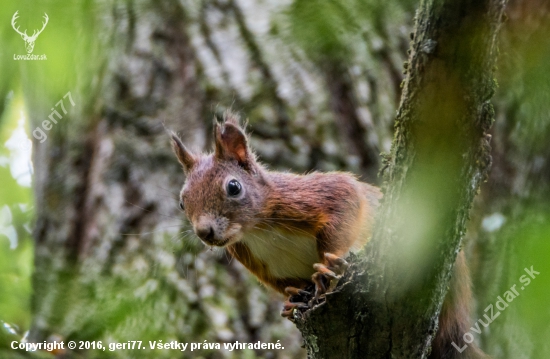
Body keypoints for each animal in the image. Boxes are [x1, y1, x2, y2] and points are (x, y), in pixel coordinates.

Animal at [171, 111, 484, 358]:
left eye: (233, 187)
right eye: (182, 202)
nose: (205, 232)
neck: (257, 232)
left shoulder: (309, 198)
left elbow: (344, 201)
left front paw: (329, 268)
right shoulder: (256, 260)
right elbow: (285, 284)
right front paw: (294, 299)